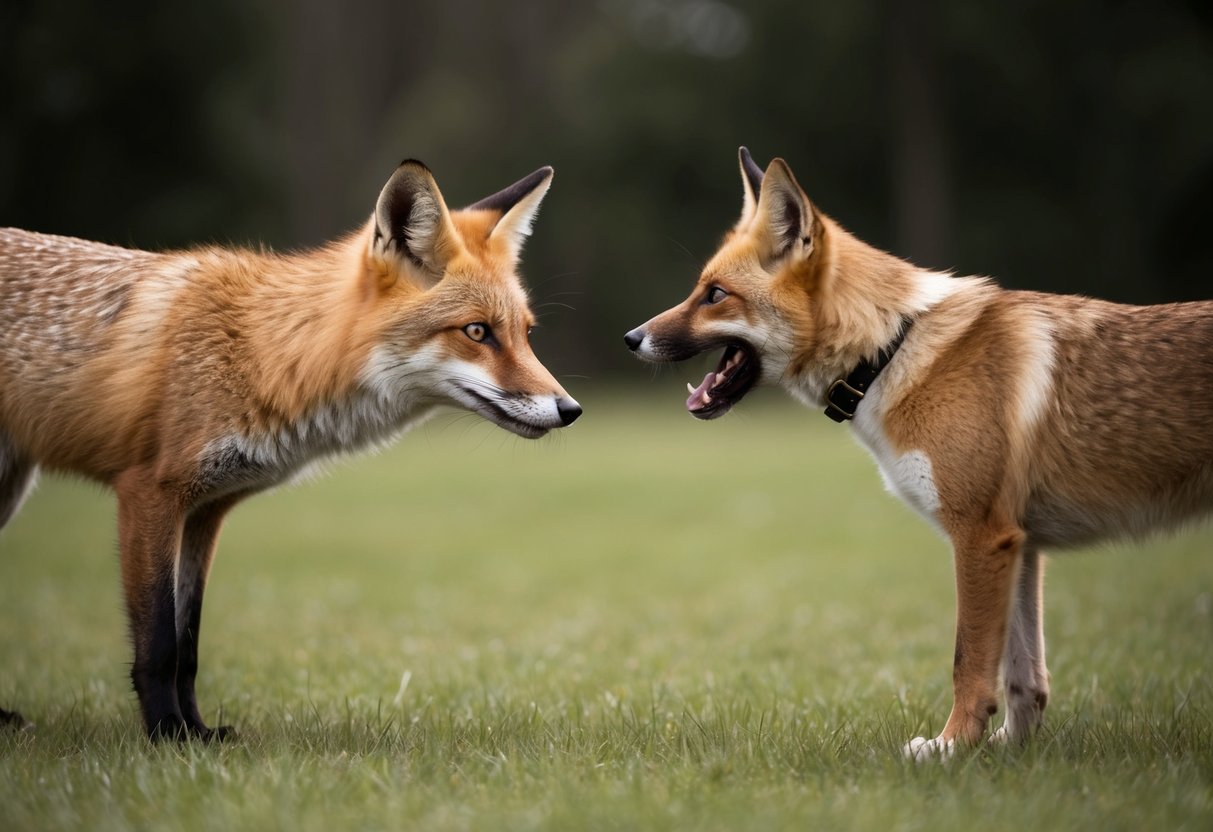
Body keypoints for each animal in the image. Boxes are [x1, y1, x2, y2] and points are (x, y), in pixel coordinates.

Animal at [0, 160, 581, 740]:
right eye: (477, 331)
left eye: (526, 334)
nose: (570, 409)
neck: (264, 353)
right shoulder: (150, 493)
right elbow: (161, 642)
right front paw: (167, 734)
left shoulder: (206, 510)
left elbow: (189, 643)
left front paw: (198, 734)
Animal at [624, 147, 1213, 760]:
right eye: (700, 288)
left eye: (714, 295)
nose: (630, 338)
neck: (890, 350)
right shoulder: (1020, 543)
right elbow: (1024, 679)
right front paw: (1008, 751)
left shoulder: (980, 536)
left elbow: (969, 664)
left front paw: (952, 747)